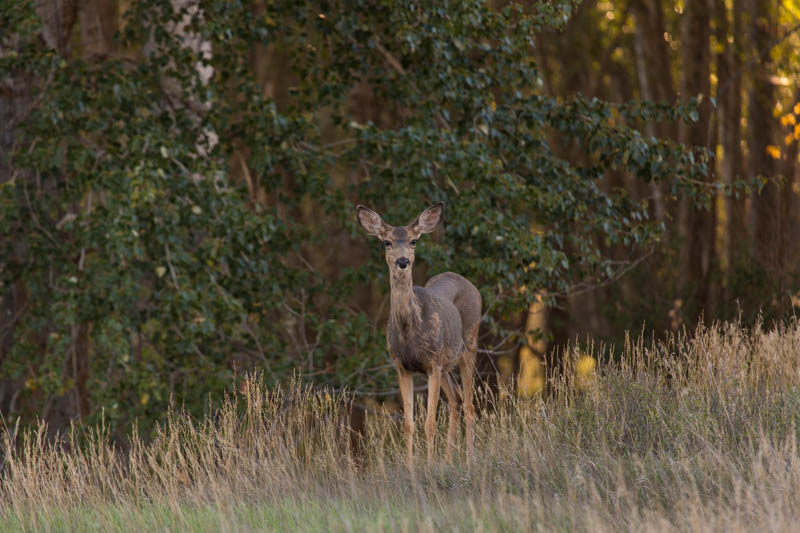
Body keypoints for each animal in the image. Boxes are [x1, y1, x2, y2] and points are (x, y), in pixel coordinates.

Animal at [358, 202, 482, 464]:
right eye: (387, 242)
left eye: (414, 240)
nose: (403, 260)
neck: (409, 330)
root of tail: (469, 283)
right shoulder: (402, 365)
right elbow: (408, 424)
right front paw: (411, 466)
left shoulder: (432, 363)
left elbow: (430, 423)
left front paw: (430, 464)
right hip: (445, 364)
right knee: (456, 399)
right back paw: (448, 459)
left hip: (469, 343)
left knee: (469, 405)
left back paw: (469, 460)